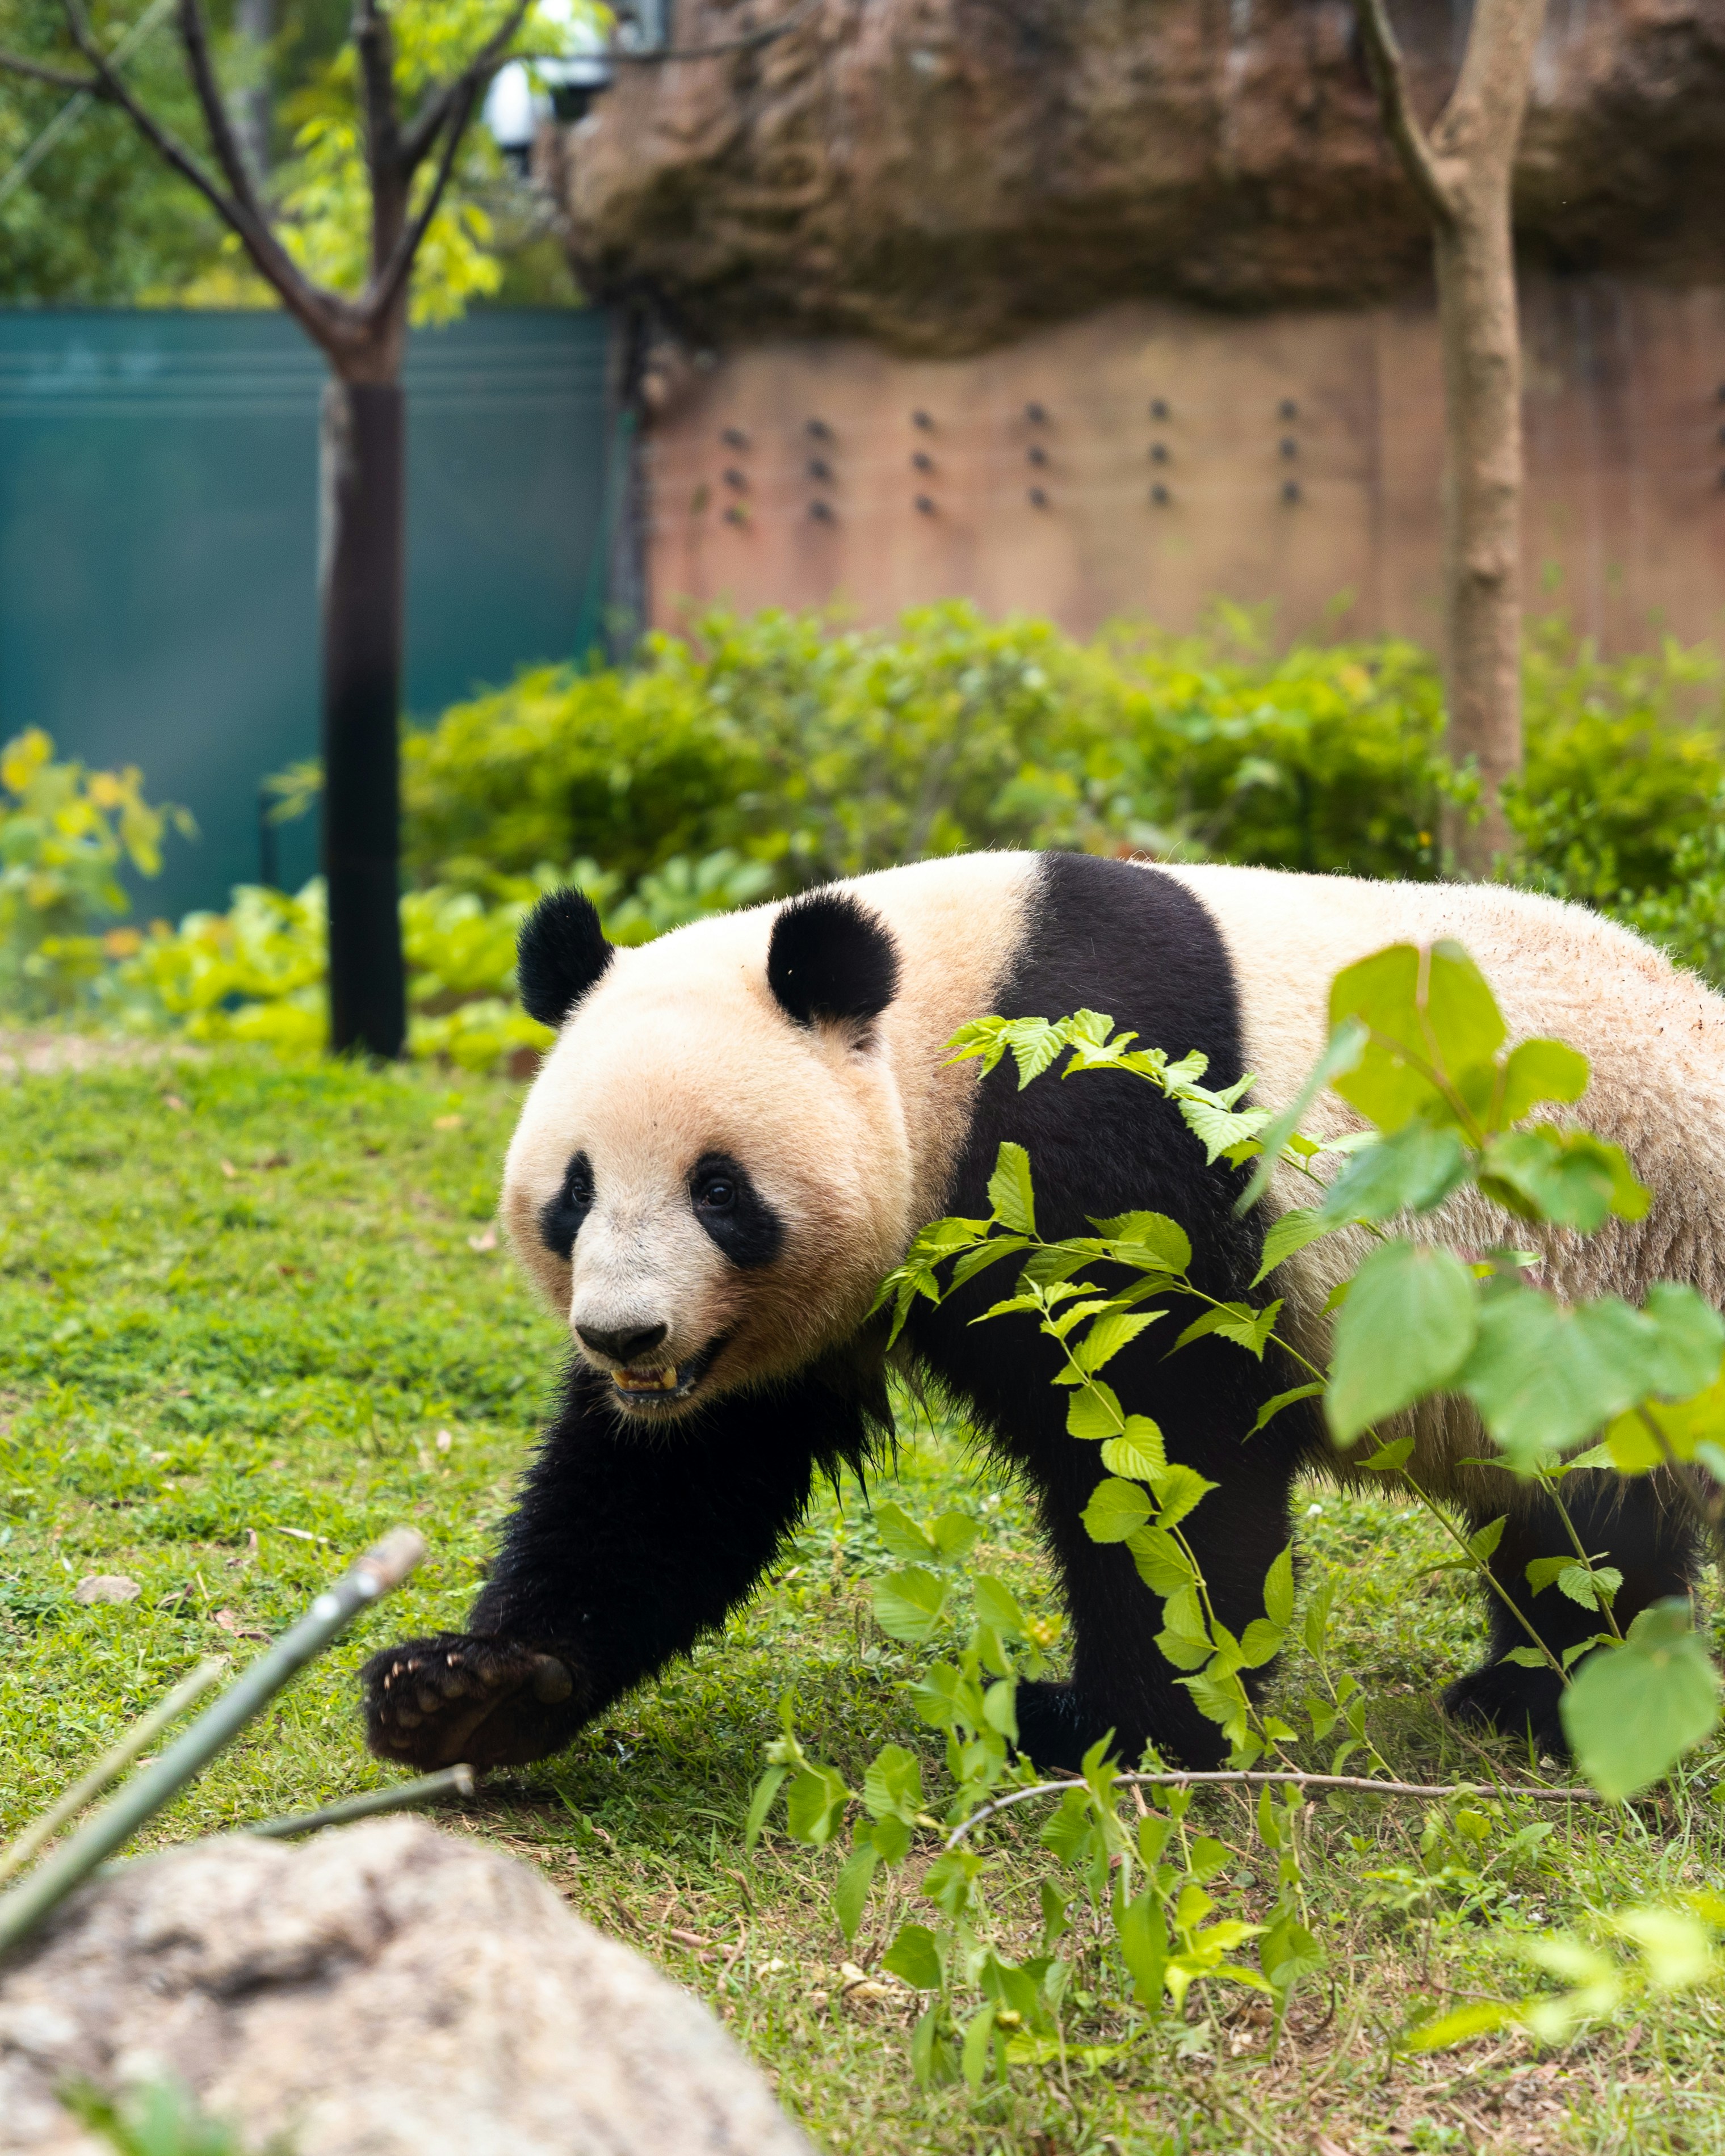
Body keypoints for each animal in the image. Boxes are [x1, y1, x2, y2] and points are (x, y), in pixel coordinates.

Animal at [362, 851, 1725, 1776]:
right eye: (574, 1192)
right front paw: (465, 1689)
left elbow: (1167, 1451)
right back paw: (1532, 1689)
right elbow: (672, 1485)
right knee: (1576, 1522)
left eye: (718, 1190)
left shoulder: (1099, 1142)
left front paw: (1114, 1723)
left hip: (1630, 1272)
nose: (625, 1338)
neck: (939, 1021)